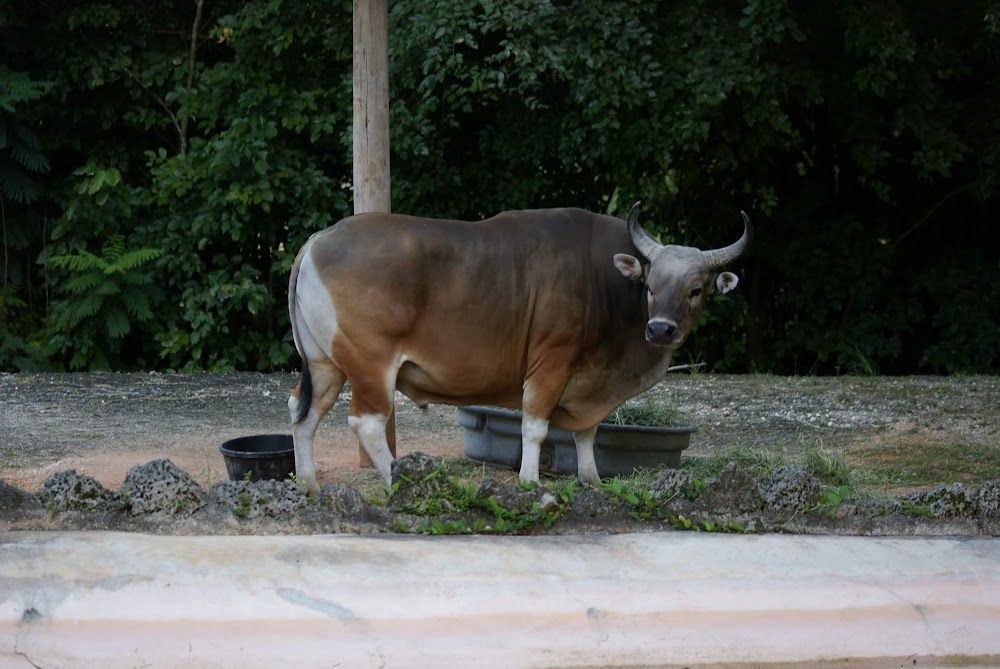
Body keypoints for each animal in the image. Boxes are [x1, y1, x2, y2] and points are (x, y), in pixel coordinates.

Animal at [288, 201, 752, 494]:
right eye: (651, 286)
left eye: (696, 290)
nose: (659, 329)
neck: (603, 284)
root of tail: (316, 242)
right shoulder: (552, 361)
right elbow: (536, 425)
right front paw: (530, 479)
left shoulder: (588, 380)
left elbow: (587, 429)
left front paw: (590, 478)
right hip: (370, 366)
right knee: (366, 423)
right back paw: (398, 480)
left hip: (325, 364)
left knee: (302, 412)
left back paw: (309, 484)